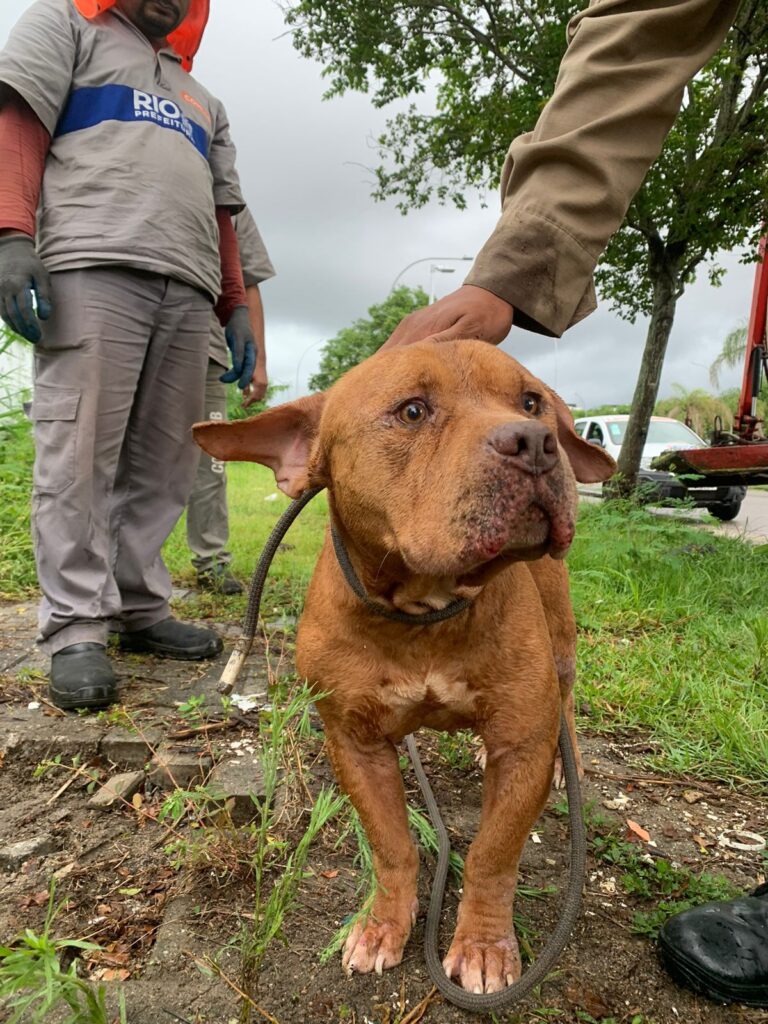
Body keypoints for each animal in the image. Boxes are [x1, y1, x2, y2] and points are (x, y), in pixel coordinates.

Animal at [195, 342, 618, 991]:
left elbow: (494, 854)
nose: (535, 442)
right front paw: (382, 925)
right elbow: (392, 846)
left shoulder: (520, 746)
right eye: (413, 411)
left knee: (564, 705)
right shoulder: (356, 745)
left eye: (530, 402)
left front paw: (485, 944)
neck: (426, 611)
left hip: (563, 649)